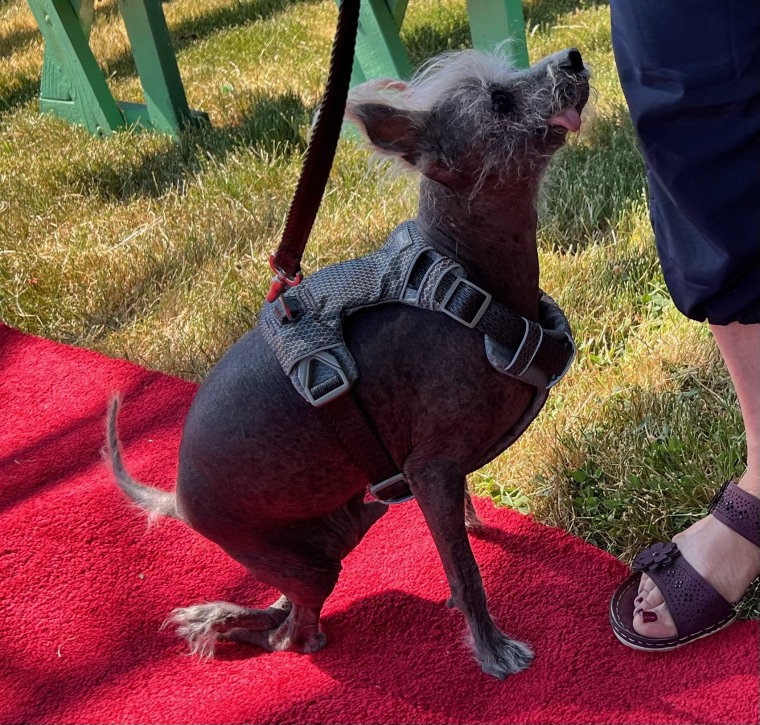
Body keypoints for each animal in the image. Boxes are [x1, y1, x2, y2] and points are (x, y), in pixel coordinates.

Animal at [107, 46, 592, 680]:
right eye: (500, 101)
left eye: (512, 74)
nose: (573, 57)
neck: (464, 281)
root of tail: (178, 500)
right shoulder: (429, 470)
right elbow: (464, 571)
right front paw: (492, 649)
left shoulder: (436, 474)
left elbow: (460, 536)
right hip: (309, 563)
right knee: (295, 638)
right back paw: (229, 627)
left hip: (330, 535)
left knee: (285, 608)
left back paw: (221, 618)